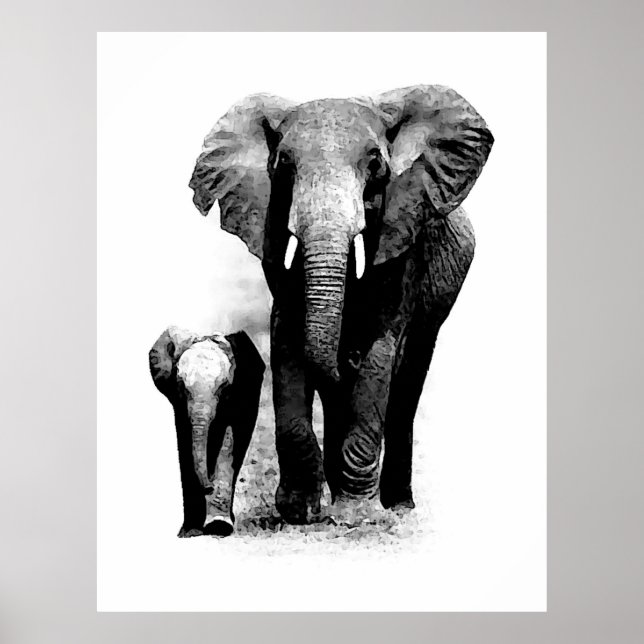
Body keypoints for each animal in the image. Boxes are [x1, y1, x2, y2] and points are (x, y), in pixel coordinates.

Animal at [149, 326, 265, 536]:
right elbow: (185, 442)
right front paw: (190, 532)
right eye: (181, 384)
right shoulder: (180, 404)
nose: (208, 487)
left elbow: (228, 443)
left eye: (224, 387)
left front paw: (218, 526)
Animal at [189, 85, 493, 524]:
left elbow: (378, 354)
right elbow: (287, 338)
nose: (344, 357)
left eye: (375, 163)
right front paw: (299, 512)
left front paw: (355, 515)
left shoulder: (401, 233)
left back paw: (397, 505)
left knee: (407, 380)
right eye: (283, 164)